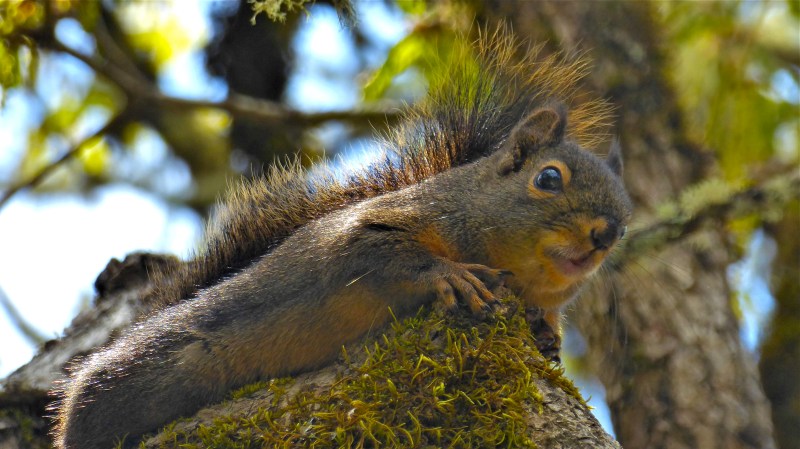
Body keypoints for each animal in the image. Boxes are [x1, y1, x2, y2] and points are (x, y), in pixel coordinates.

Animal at [52, 31, 632, 449]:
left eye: (627, 218)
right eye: (548, 178)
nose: (604, 234)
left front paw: (547, 332)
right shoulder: (368, 231)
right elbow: (382, 256)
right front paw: (454, 276)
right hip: (128, 379)